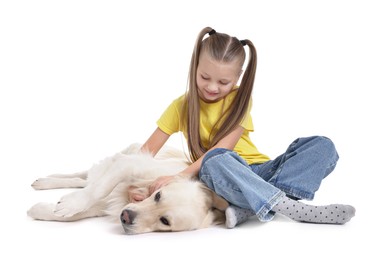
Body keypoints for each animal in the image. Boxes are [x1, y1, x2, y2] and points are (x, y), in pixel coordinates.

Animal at [27, 143, 228, 235]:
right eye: (158, 195)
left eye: (164, 221)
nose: (125, 217)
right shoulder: (129, 164)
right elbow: (98, 188)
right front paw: (71, 204)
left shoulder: (109, 204)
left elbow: (77, 213)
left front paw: (41, 209)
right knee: (85, 175)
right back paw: (44, 181)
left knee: (82, 180)